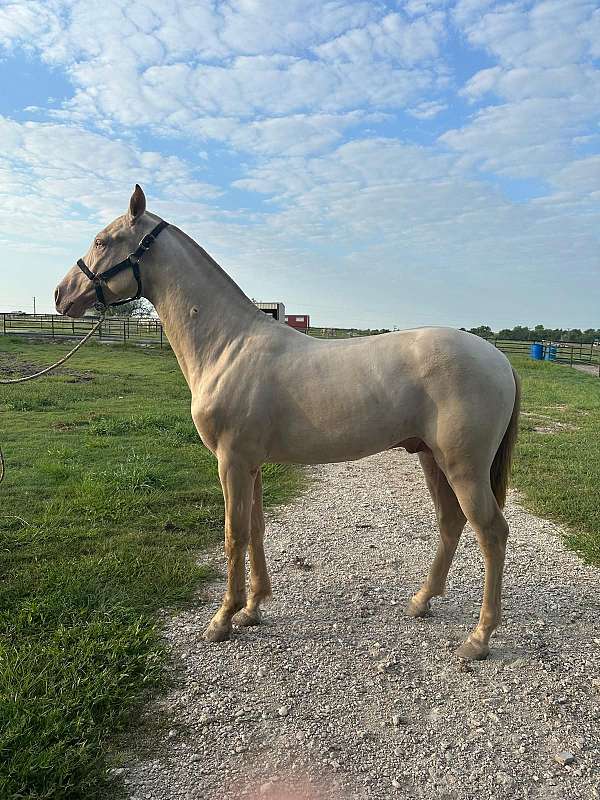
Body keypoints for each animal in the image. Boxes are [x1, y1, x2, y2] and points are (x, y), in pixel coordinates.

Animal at [55, 188, 520, 664]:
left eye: (102, 240)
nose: (61, 295)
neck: (228, 344)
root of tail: (499, 360)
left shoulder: (231, 462)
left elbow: (234, 534)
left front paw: (222, 620)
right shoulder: (251, 464)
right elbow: (256, 529)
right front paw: (252, 608)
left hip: (463, 468)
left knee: (491, 533)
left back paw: (479, 638)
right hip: (432, 459)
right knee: (451, 523)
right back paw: (422, 601)